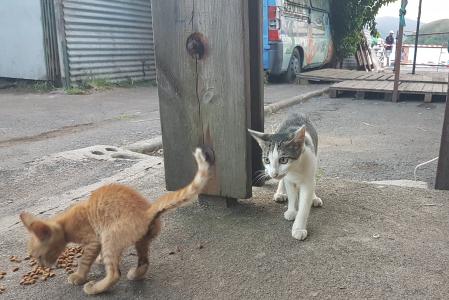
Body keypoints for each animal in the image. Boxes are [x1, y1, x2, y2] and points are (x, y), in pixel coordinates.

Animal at [20, 148, 209, 296]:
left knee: (114, 274)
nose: (43, 265)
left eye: (39, 256)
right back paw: (135, 274)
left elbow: (84, 261)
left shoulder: (94, 240)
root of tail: (146, 211)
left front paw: (79, 277)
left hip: (109, 237)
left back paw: (94, 288)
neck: (65, 223)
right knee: (144, 262)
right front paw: (99, 260)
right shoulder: (98, 241)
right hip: (141, 240)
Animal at [247, 113, 320, 241]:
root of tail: (297, 113)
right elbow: (291, 193)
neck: (295, 168)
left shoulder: (308, 175)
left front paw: (298, 228)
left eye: (283, 160)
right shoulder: (288, 178)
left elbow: (304, 204)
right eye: (267, 160)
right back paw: (280, 193)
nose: (273, 173)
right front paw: (291, 210)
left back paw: (314, 197)